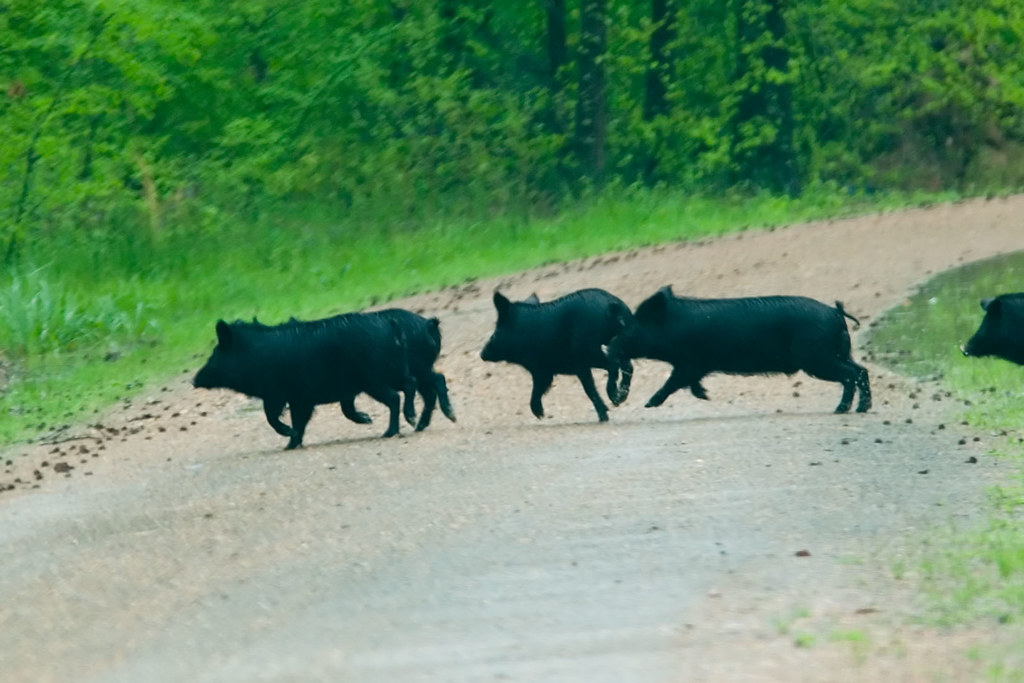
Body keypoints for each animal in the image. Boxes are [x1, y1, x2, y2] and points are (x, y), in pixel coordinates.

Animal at [193, 313, 414, 449]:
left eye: (216, 353)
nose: (194, 381)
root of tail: (390, 326)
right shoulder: (300, 398)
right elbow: (300, 419)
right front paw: (290, 445)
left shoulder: (276, 393)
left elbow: (272, 417)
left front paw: (288, 438)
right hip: (392, 372)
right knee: (410, 384)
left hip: (375, 378)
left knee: (395, 397)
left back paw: (389, 432)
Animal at [480, 288, 634, 422]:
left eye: (497, 330)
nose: (482, 354)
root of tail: (612, 305)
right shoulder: (578, 368)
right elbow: (589, 388)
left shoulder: (542, 369)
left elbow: (540, 387)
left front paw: (540, 415)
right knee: (628, 366)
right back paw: (621, 396)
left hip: (589, 349)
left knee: (614, 364)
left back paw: (615, 398)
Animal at [607, 286, 871, 413]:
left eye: (632, 325)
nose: (610, 345)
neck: (672, 327)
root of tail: (835, 312)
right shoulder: (693, 366)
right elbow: (689, 382)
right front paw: (705, 395)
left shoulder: (690, 362)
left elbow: (673, 381)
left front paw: (649, 404)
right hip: (837, 354)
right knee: (861, 371)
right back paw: (859, 408)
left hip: (817, 358)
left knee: (852, 374)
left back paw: (842, 410)